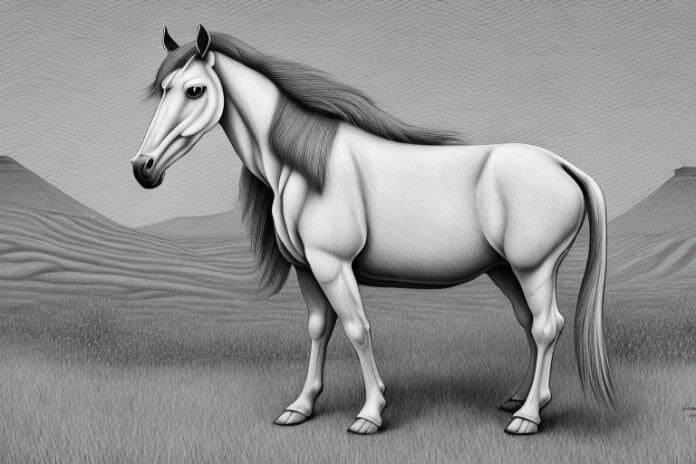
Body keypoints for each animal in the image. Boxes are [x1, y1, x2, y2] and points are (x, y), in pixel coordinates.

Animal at [132, 25, 614, 435]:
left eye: (195, 89)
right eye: (164, 89)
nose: (143, 168)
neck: (306, 169)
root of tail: (562, 165)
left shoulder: (333, 266)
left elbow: (357, 329)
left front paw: (370, 413)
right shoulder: (308, 270)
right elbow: (318, 328)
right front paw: (301, 407)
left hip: (536, 269)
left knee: (547, 327)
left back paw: (528, 417)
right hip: (504, 270)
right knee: (529, 324)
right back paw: (521, 399)